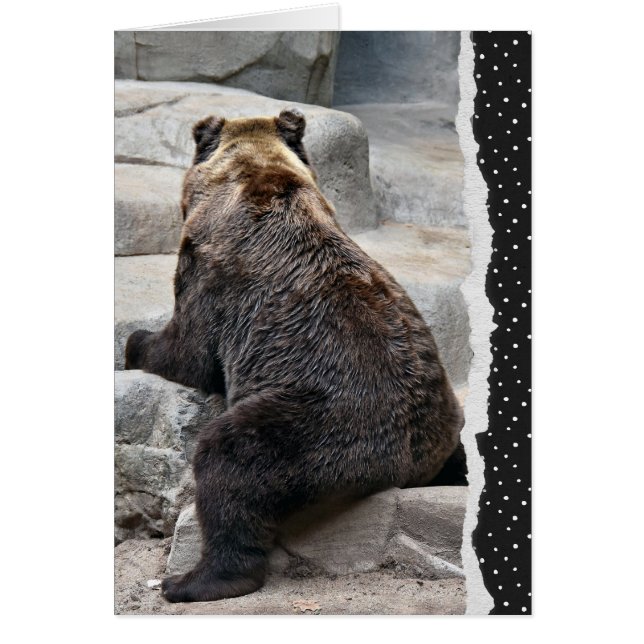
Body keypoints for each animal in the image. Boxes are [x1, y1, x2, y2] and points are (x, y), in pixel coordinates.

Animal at [125, 107, 466, 603]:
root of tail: (407, 463)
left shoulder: (212, 271)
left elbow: (190, 351)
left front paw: (134, 343)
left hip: (321, 421)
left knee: (230, 458)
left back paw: (194, 580)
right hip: (440, 415)